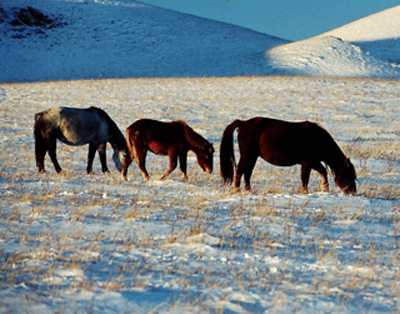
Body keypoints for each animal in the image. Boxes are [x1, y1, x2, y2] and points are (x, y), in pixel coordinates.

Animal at [220, 118, 358, 194]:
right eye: (349, 175)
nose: (353, 192)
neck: (317, 139)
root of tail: (242, 123)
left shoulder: (313, 162)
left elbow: (323, 172)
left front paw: (325, 189)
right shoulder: (307, 162)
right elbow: (305, 178)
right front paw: (305, 192)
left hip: (253, 156)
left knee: (247, 173)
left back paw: (248, 190)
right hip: (248, 155)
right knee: (240, 170)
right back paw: (237, 190)